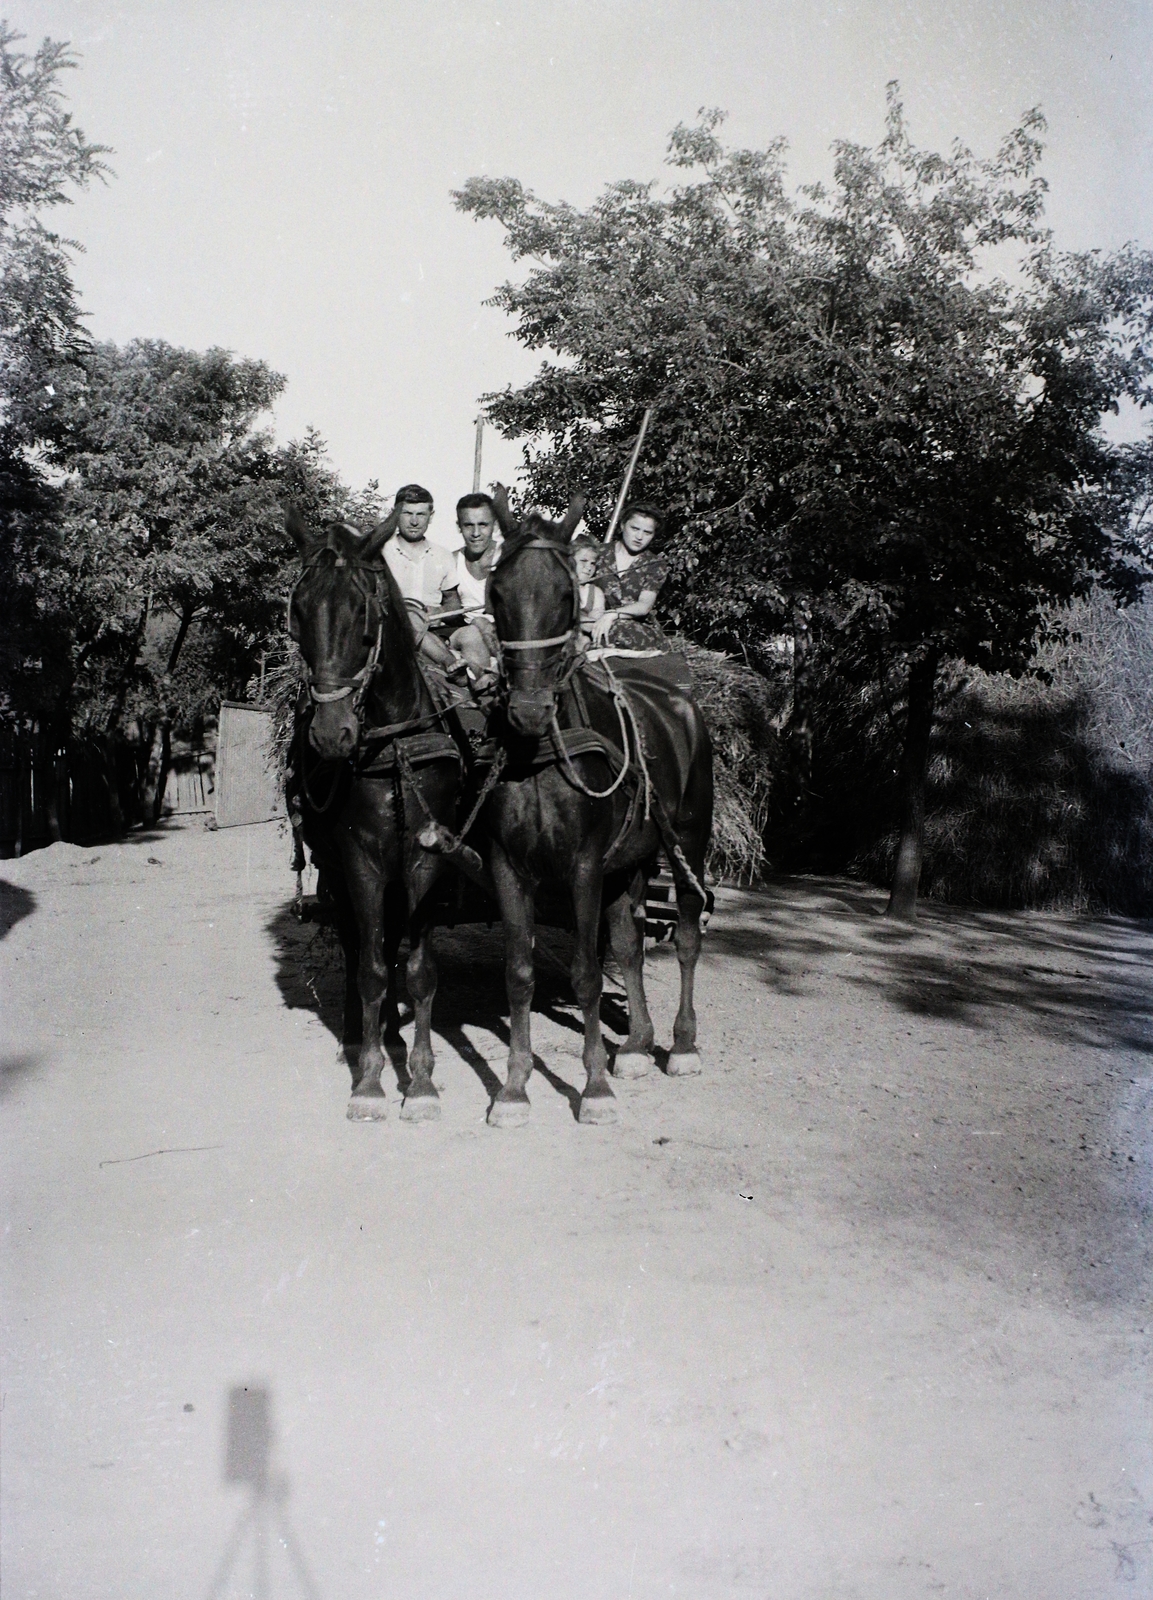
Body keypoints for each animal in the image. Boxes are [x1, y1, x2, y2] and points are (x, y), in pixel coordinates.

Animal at [286, 505, 466, 1120]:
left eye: (365, 613)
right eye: (298, 611)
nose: (330, 735)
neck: (393, 746)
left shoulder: (427, 859)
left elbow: (419, 970)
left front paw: (423, 1082)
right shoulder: (359, 858)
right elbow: (368, 969)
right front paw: (368, 1080)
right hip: (336, 871)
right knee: (356, 945)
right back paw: (356, 1038)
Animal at [476, 492, 710, 1132]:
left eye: (566, 595)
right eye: (497, 591)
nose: (528, 709)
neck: (543, 751)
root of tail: (681, 702)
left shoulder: (582, 866)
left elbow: (583, 972)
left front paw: (595, 1087)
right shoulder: (507, 867)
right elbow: (519, 973)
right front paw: (514, 1089)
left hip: (690, 842)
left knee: (684, 936)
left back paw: (681, 1045)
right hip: (630, 858)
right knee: (629, 942)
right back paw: (637, 1046)